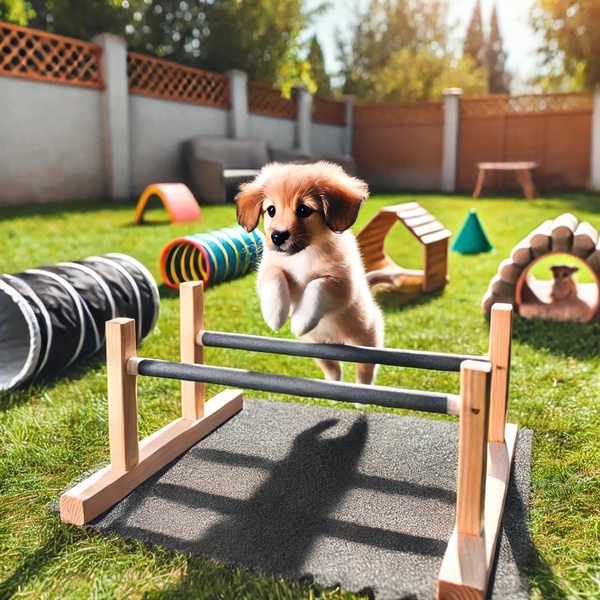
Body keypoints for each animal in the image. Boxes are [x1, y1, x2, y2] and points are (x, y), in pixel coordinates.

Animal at [236, 161, 384, 384]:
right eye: (271, 210)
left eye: (304, 210)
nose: (278, 236)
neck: (304, 254)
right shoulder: (267, 271)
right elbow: (275, 275)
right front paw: (274, 314)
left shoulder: (343, 285)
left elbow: (317, 285)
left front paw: (300, 320)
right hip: (319, 352)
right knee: (334, 371)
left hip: (366, 343)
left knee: (366, 371)